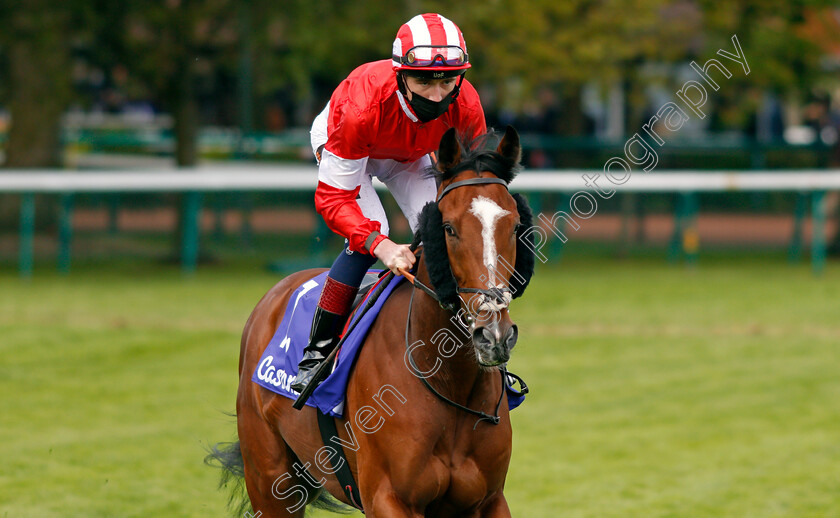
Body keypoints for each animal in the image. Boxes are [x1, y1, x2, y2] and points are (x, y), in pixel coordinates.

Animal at [210, 127, 540, 518]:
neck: (445, 380)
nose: (494, 335)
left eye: (516, 226)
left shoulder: (488, 500)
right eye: (448, 228)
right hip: (270, 479)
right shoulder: (388, 498)